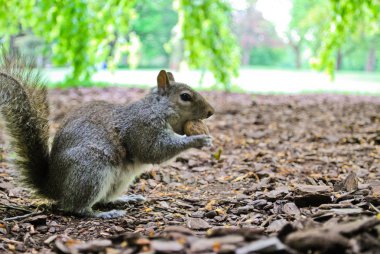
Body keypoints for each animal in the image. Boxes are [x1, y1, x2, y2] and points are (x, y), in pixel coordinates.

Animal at [0, 51, 214, 218]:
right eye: (185, 97)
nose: (211, 111)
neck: (156, 109)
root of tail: (53, 186)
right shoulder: (142, 127)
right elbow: (154, 150)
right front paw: (198, 139)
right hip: (90, 170)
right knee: (74, 207)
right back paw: (103, 214)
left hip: (117, 180)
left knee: (103, 199)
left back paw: (123, 199)